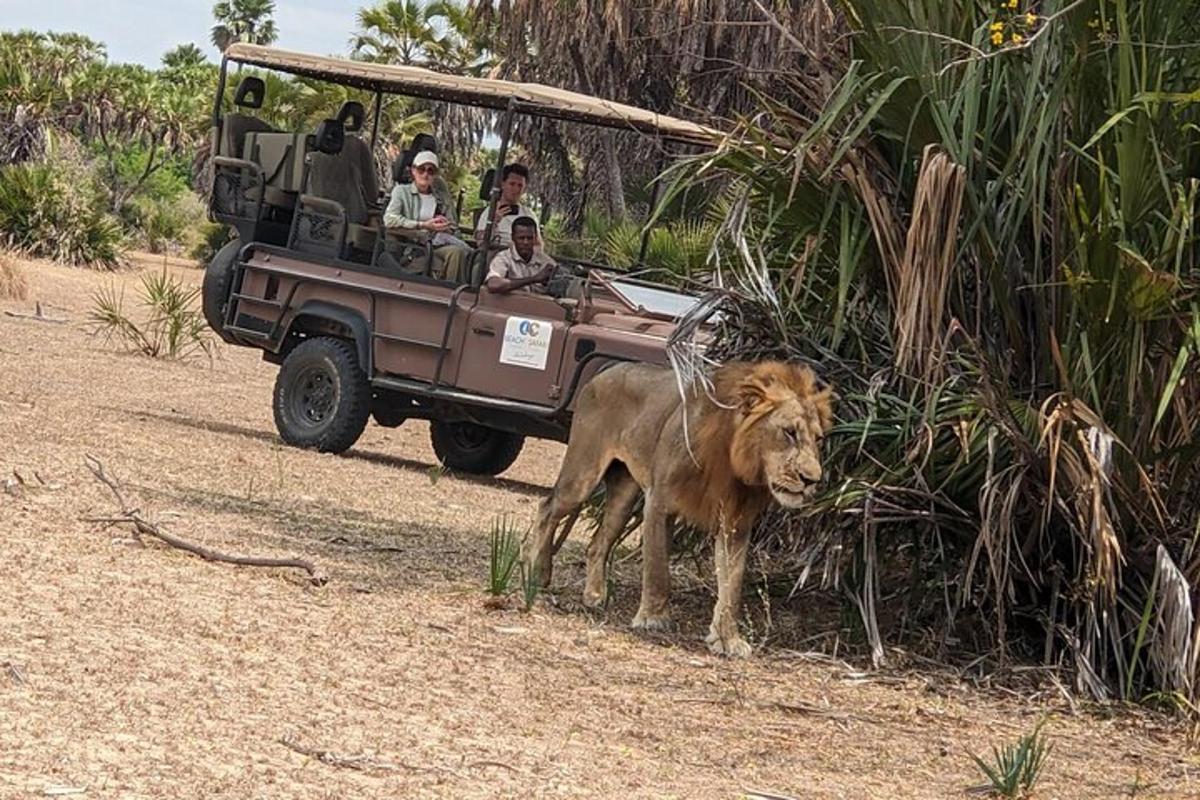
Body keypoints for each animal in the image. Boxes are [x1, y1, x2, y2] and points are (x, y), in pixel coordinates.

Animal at [530, 362, 830, 657]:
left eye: (818, 439)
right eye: (789, 432)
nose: (812, 480)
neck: (731, 461)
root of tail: (605, 372)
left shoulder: (735, 524)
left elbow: (732, 586)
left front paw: (727, 639)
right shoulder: (659, 501)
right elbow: (657, 569)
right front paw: (653, 619)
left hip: (625, 494)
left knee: (597, 543)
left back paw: (593, 595)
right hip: (583, 475)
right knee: (547, 508)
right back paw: (537, 572)